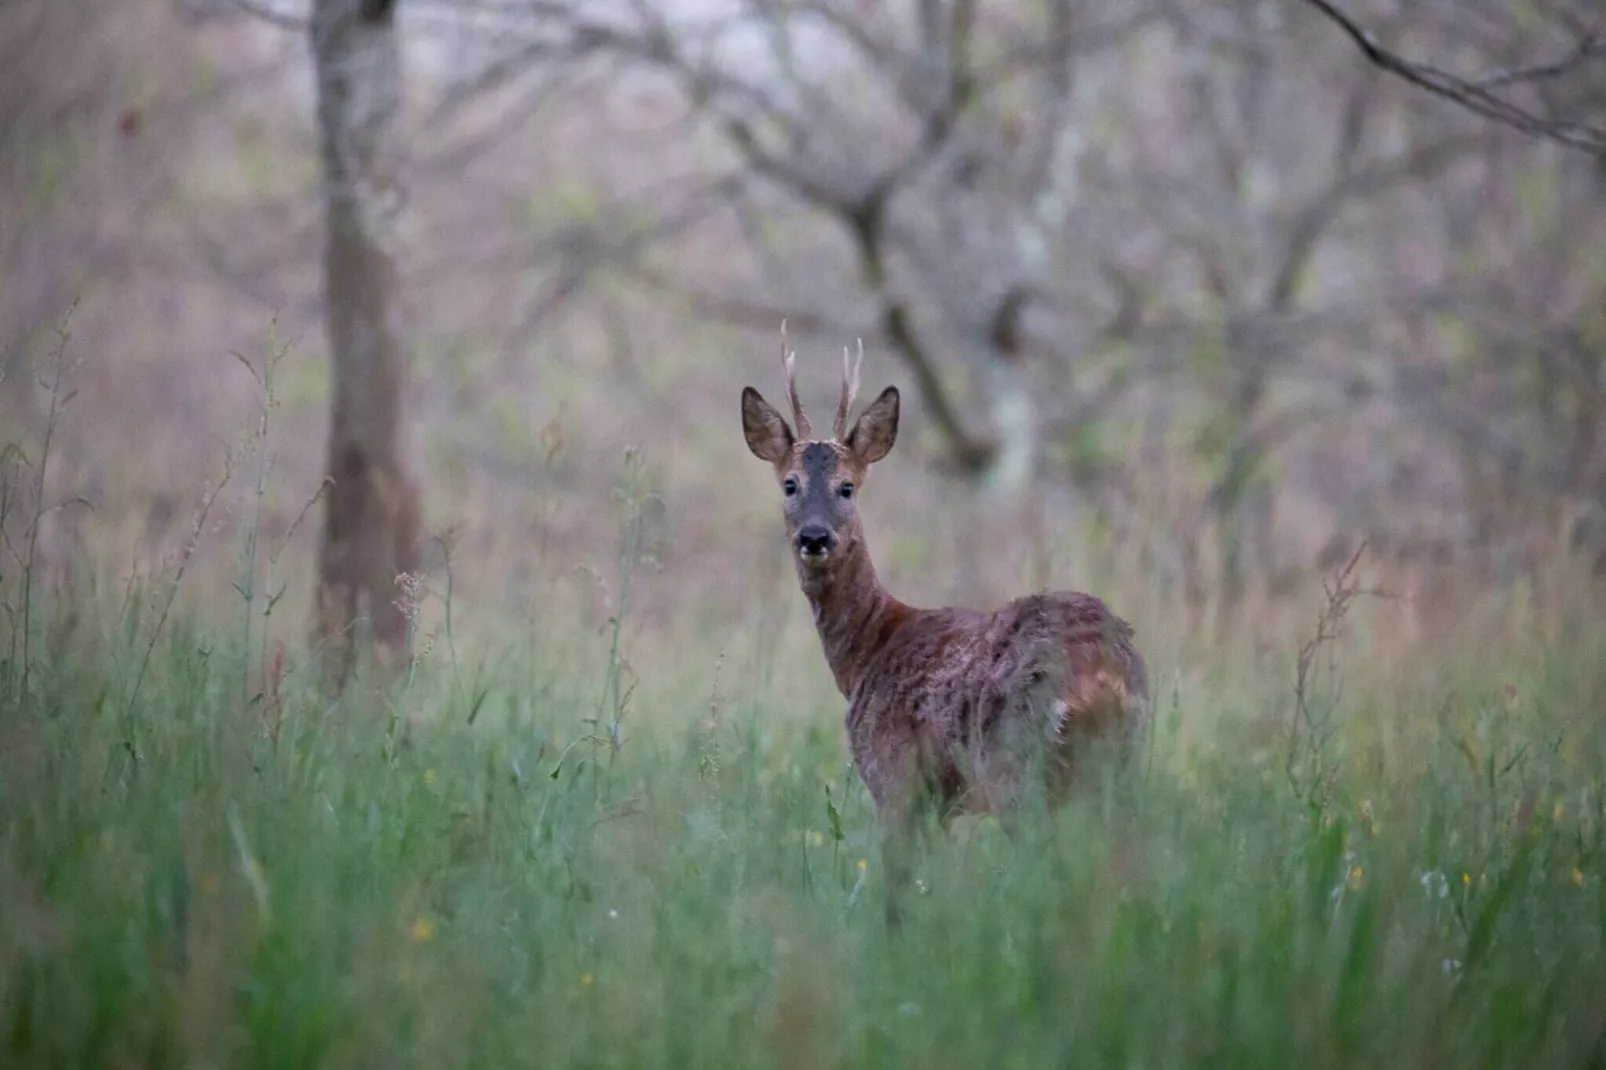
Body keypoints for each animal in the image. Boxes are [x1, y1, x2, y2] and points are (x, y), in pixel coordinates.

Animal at [745, 337, 1149, 912]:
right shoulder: (944, 803)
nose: (815, 537)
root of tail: (1100, 671)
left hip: (1016, 764)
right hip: (1126, 761)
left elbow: (897, 890)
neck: (867, 651)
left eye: (847, 487)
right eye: (789, 484)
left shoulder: (894, 779)